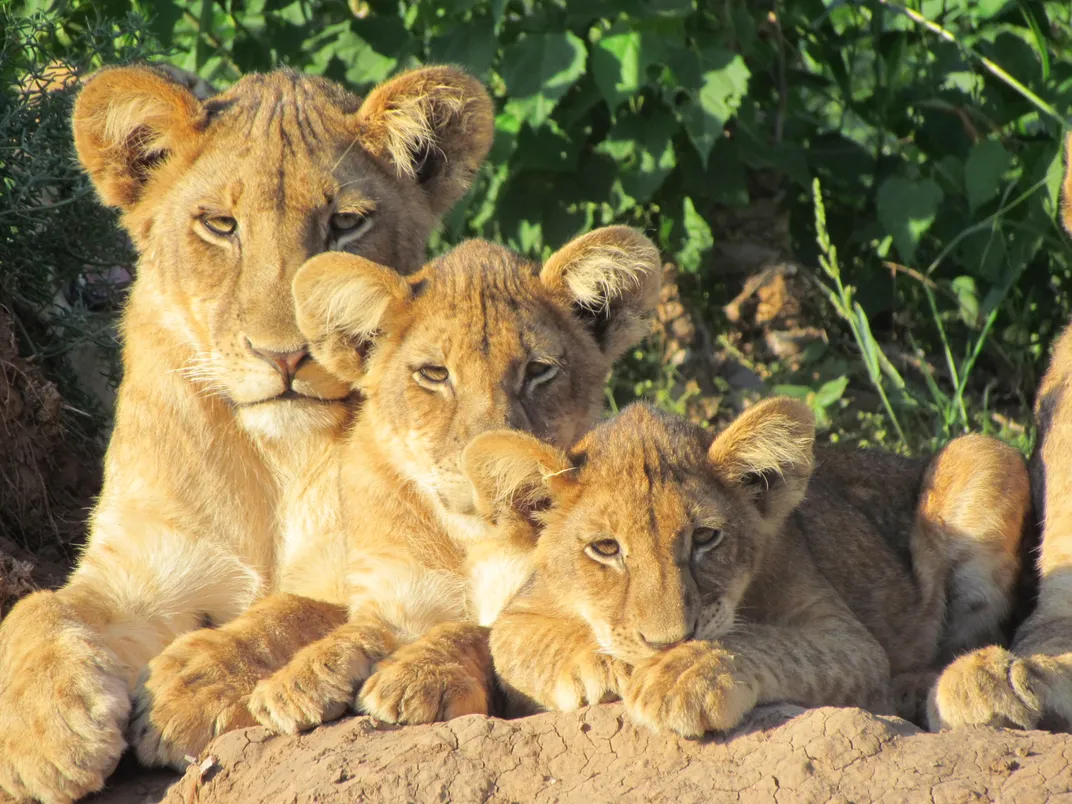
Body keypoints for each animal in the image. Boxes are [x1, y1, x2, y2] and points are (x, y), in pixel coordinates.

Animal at [0, 63, 493, 803]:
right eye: (220, 225)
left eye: (346, 223)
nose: (285, 356)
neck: (274, 458)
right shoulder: (145, 563)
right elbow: (36, 608)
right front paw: (41, 735)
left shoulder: (383, 570)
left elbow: (295, 609)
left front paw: (191, 686)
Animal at [125, 226, 661, 754]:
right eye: (434, 374)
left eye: (538, 371)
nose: (484, 460)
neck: (467, 538)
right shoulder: (393, 596)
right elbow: (329, 621)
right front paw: (292, 679)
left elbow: (476, 628)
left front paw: (415, 676)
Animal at [473, 400, 1030, 736]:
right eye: (606, 548)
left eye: (705, 538)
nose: (668, 642)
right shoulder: (520, 607)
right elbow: (517, 643)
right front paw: (607, 666)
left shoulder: (848, 640)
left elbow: (765, 640)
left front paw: (683, 672)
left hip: (982, 451)